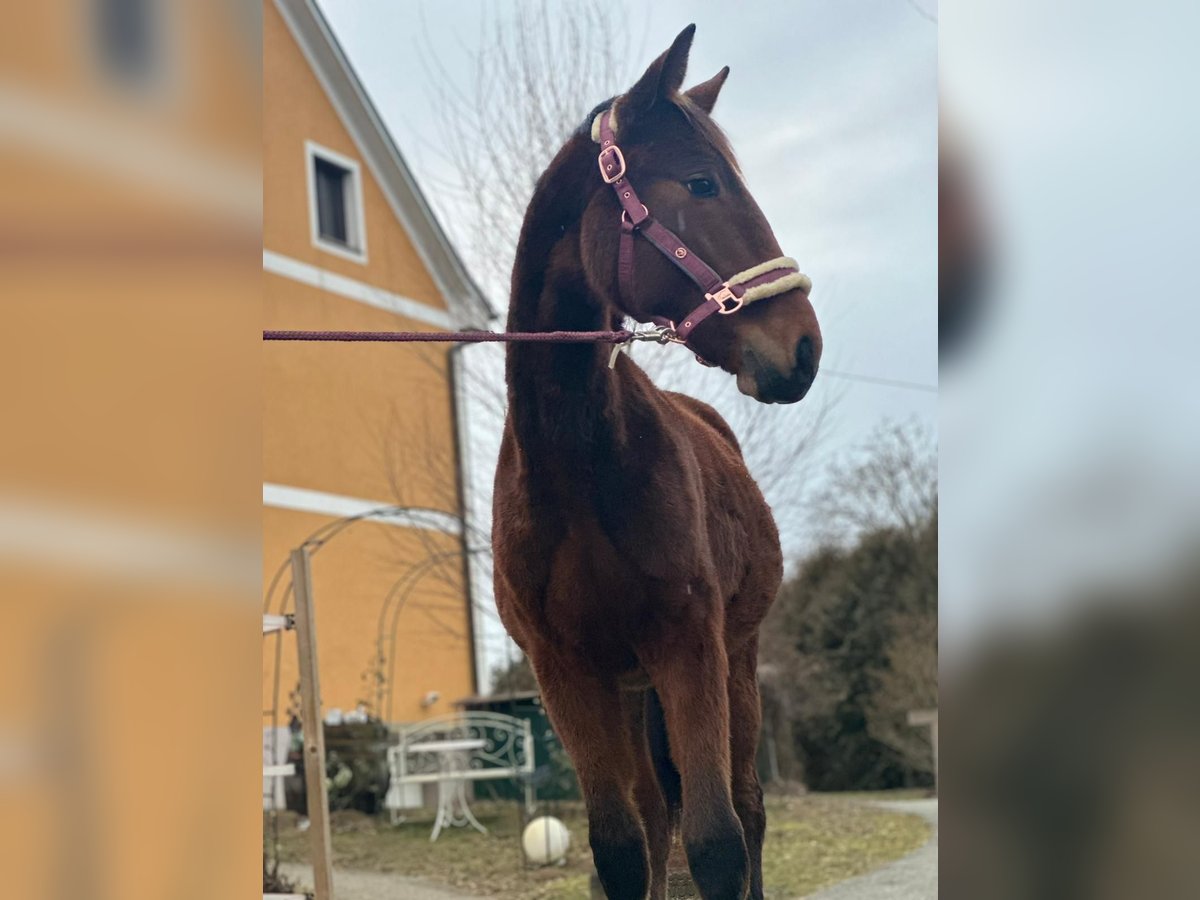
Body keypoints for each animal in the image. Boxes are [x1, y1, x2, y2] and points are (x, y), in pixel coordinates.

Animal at [492, 24, 820, 897]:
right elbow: (620, 849)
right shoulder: (569, 676)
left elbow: (719, 840)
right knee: (656, 816)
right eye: (701, 183)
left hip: (735, 665)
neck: (578, 471)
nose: (803, 348)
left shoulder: (690, 649)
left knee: (748, 810)